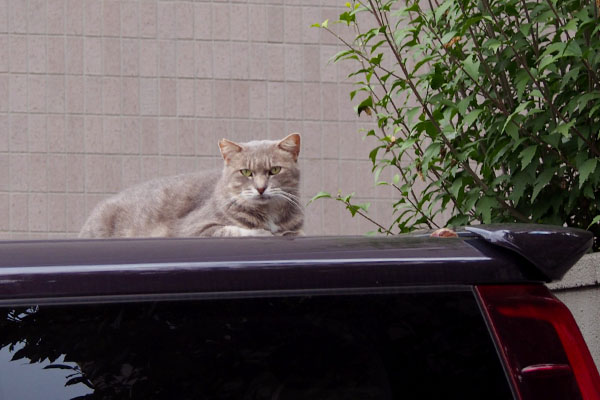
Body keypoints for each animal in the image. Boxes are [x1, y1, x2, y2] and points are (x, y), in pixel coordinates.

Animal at [78, 133, 304, 238]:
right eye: (246, 172)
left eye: (274, 170)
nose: (260, 188)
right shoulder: (192, 229)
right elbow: (232, 230)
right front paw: (264, 233)